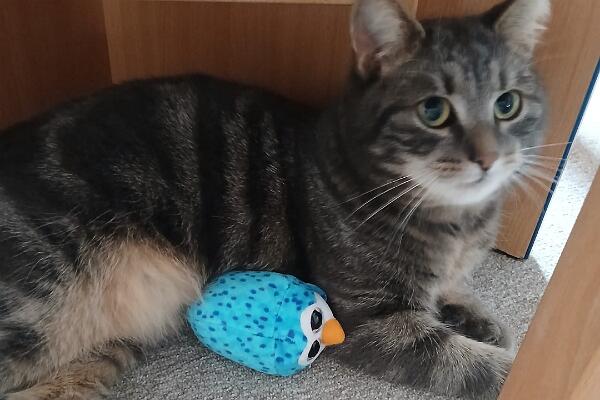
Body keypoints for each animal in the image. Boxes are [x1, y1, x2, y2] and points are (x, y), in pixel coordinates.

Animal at [0, 0, 549, 399]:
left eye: (508, 105)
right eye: (434, 111)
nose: (488, 158)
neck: (456, 222)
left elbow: (456, 289)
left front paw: (482, 317)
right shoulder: (373, 318)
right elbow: (464, 362)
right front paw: (511, 366)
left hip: (105, 351)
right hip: (39, 309)